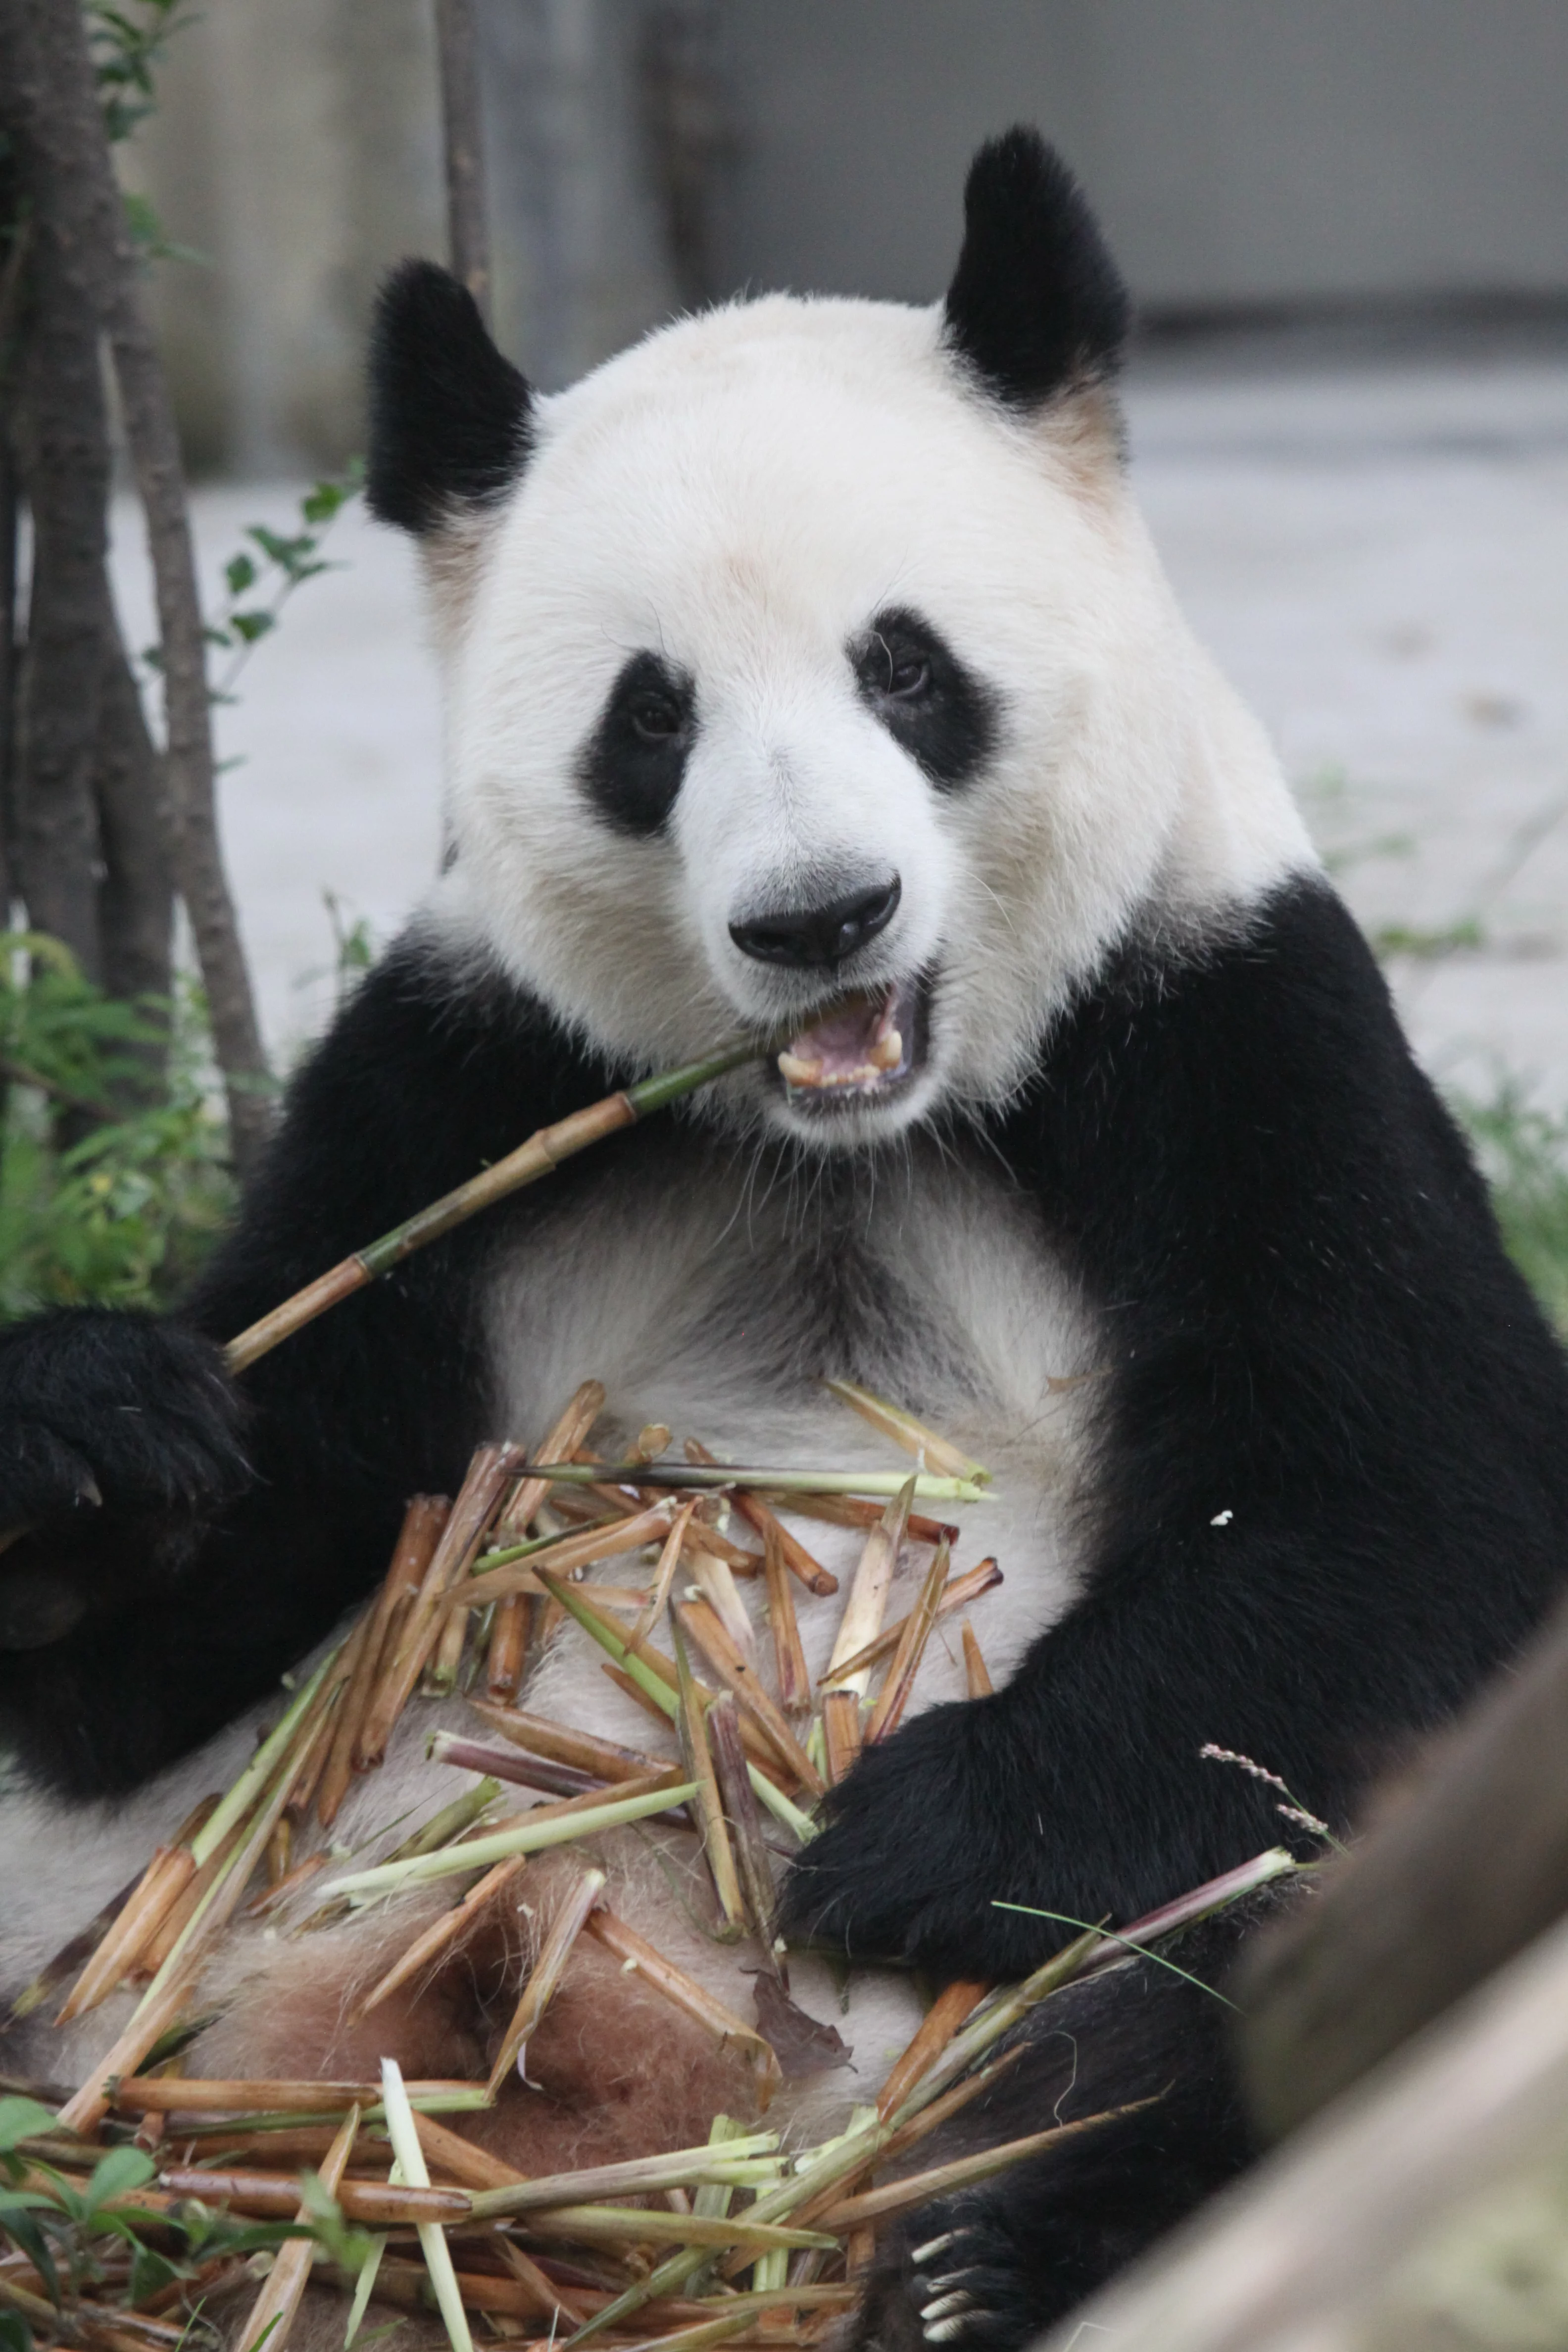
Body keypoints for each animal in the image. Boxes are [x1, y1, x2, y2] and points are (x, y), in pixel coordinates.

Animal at [3, 126, 1567, 2349]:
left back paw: (992, 2248)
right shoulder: (465, 1092)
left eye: (903, 665)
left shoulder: (1229, 1020)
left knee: (1265, 1984)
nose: (820, 916)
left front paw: (897, 1835)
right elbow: (183, 1607)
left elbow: (1405, 1519)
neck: (838, 1143)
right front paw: (95, 1438)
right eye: (649, 719)